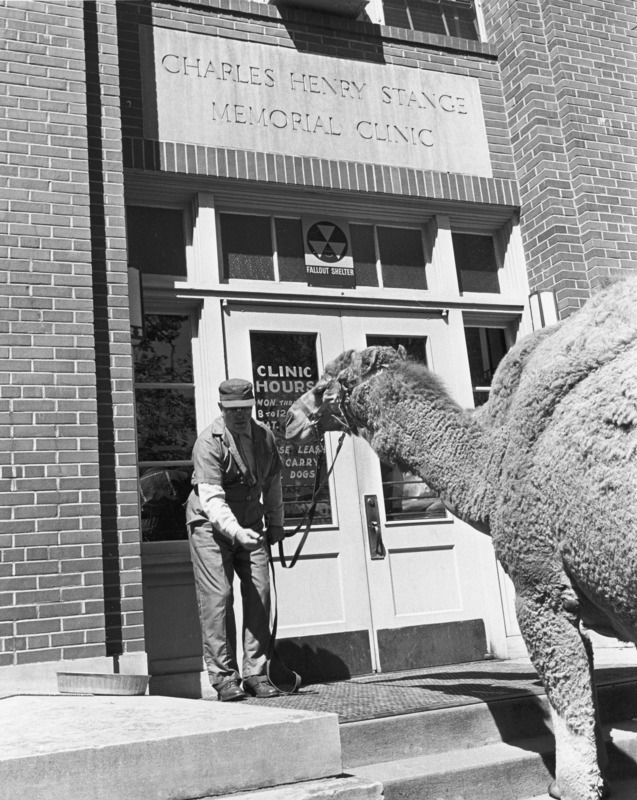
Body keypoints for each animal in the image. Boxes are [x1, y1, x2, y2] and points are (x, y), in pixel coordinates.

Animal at [286, 276, 636, 800]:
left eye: (327, 384)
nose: (287, 418)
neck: (493, 464)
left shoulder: (540, 585)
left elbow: (568, 692)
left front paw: (571, 785)